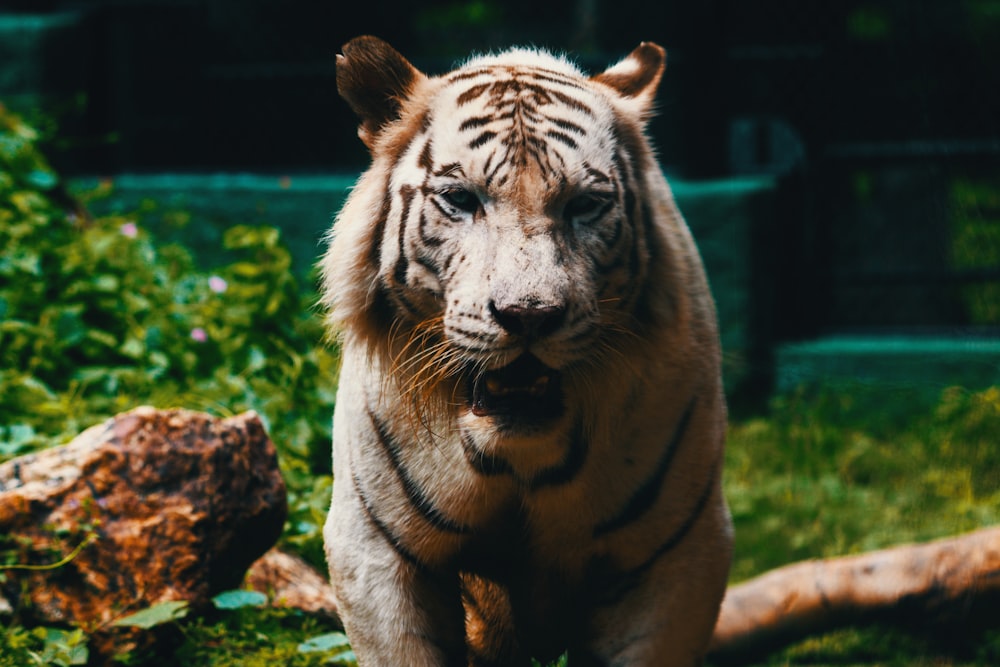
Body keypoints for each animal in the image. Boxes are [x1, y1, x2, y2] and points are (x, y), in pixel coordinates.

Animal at [322, 35, 736, 667]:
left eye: (584, 205)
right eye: (459, 199)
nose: (529, 316)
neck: (521, 461)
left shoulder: (676, 552)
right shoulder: (375, 546)